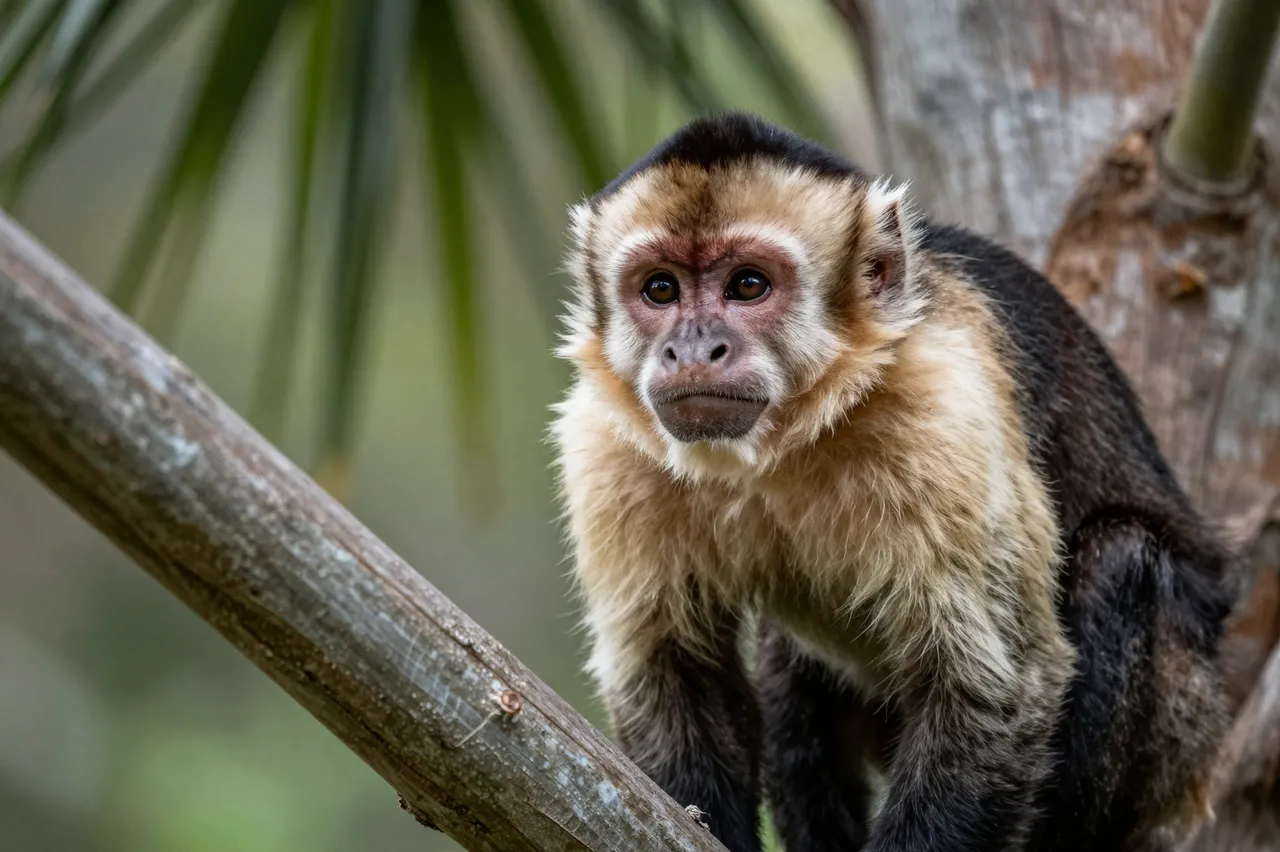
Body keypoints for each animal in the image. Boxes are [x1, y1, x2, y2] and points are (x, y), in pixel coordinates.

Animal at [549, 112, 1234, 852]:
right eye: (661, 290)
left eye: (748, 286)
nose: (695, 349)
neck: (777, 445)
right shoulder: (609, 441)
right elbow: (669, 672)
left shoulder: (943, 406)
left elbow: (991, 688)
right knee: (788, 670)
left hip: (1189, 732)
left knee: (1122, 555)